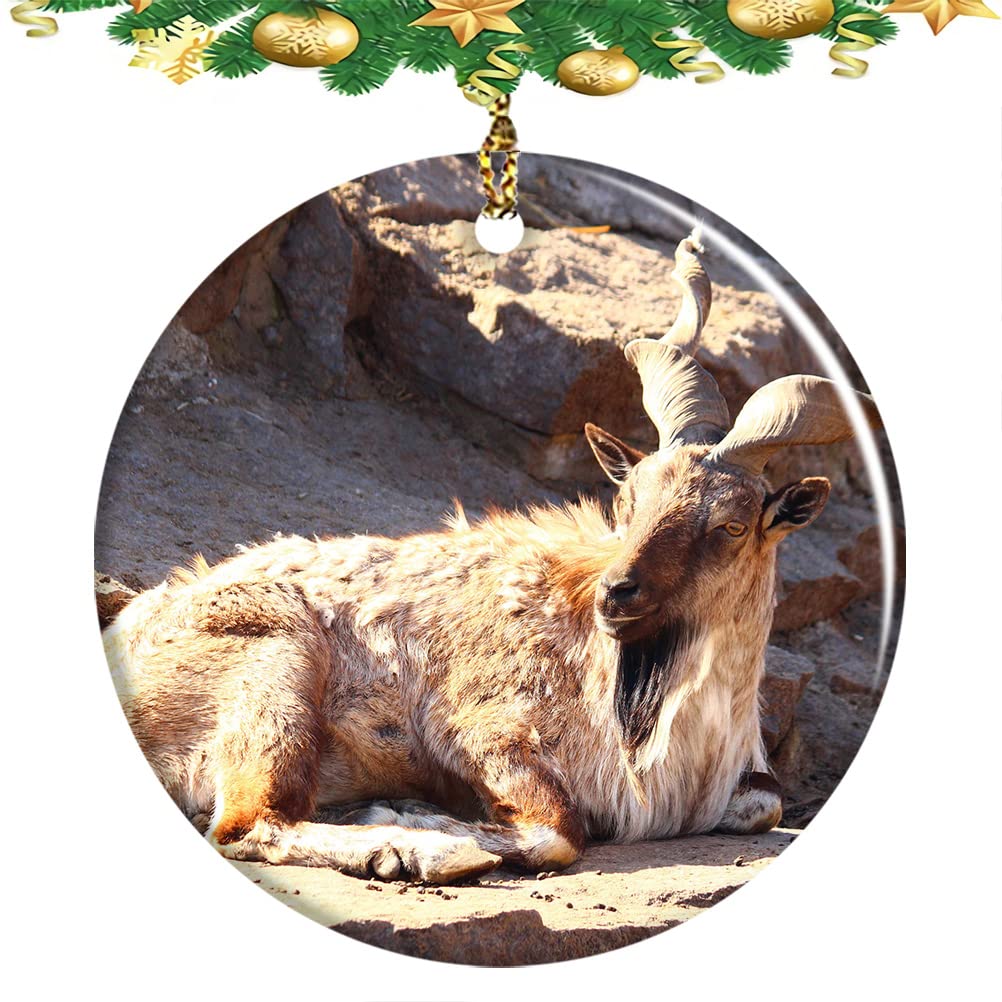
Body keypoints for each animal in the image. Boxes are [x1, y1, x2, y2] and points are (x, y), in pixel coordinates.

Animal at [102, 231, 879, 884]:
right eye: (628, 501)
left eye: (730, 524)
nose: (618, 595)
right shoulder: (482, 730)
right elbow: (559, 831)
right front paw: (414, 820)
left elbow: (766, 806)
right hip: (277, 655)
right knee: (246, 824)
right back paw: (400, 849)